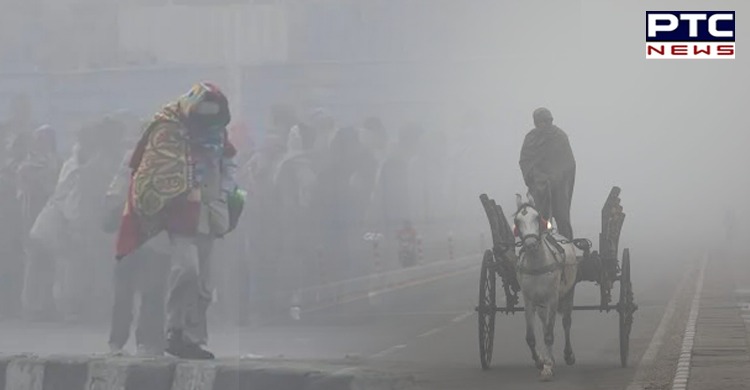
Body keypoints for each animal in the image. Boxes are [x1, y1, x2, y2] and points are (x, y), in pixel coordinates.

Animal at [516, 193, 580, 380]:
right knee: (545, 323)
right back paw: (547, 357)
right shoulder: (529, 300)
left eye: (537, 218)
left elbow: (550, 335)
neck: (537, 264)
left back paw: (567, 354)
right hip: (541, 303)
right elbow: (531, 336)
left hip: (568, 292)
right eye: (517, 221)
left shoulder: (552, 298)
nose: (530, 244)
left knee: (566, 322)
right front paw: (540, 361)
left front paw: (548, 367)